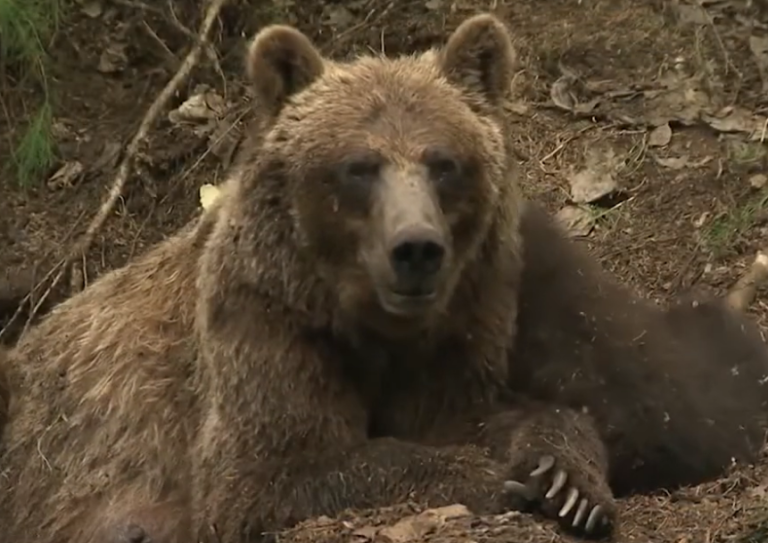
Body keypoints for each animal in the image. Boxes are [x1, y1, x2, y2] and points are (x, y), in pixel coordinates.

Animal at [1, 11, 767, 543]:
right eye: (358, 165)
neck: (368, 323)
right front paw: (495, 476)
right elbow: (272, 471)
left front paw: (563, 476)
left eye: (443, 161)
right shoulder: (262, 327)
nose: (416, 249)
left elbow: (507, 411)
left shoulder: (457, 330)